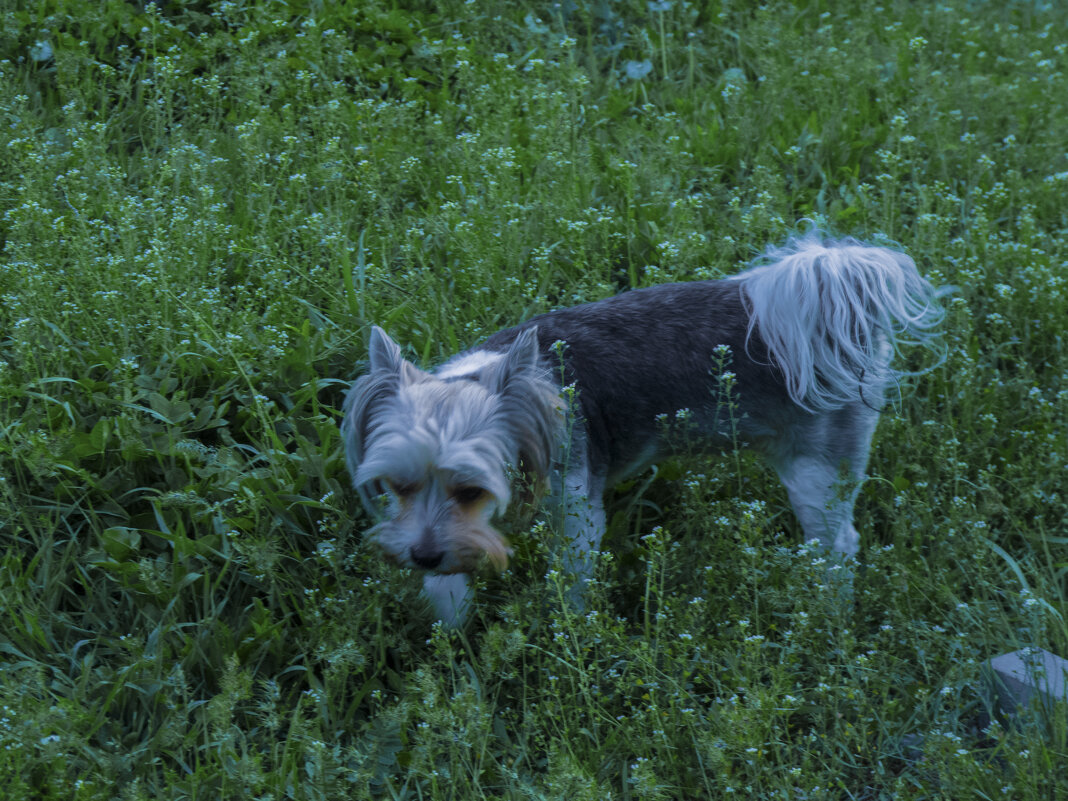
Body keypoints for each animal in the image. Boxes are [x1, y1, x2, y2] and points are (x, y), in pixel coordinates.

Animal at [339, 234, 944, 623]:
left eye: (471, 490)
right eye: (397, 487)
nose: (422, 555)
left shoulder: (575, 507)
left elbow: (573, 578)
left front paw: (572, 634)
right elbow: (450, 592)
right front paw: (454, 639)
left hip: (819, 469)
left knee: (837, 542)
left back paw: (829, 616)